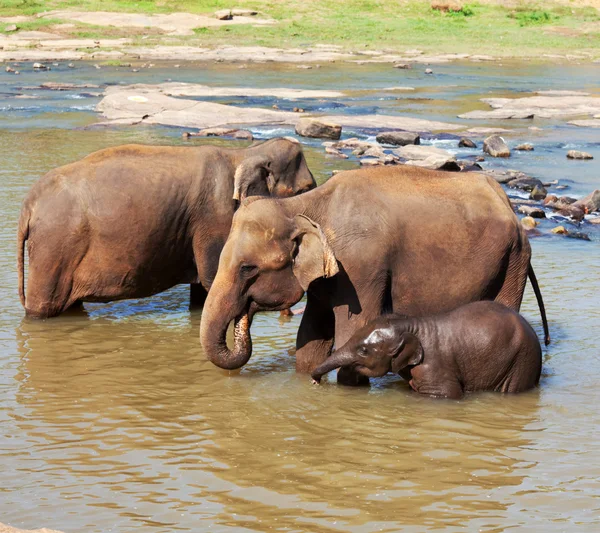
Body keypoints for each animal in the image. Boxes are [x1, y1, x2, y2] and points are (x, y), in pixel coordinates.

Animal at [16, 136, 316, 316]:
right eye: (304, 190)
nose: (288, 314)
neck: (244, 153)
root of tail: (28, 205)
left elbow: (204, 292)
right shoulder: (215, 216)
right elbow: (212, 279)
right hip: (54, 246)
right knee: (44, 307)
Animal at [200, 164, 548, 384]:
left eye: (248, 269)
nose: (244, 317)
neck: (305, 206)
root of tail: (508, 204)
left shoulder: (361, 268)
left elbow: (352, 331)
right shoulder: (331, 277)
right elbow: (311, 337)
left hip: (513, 260)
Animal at [312, 300, 540, 400]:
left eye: (364, 350)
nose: (315, 380)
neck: (410, 325)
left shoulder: (434, 367)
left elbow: (448, 393)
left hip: (522, 361)